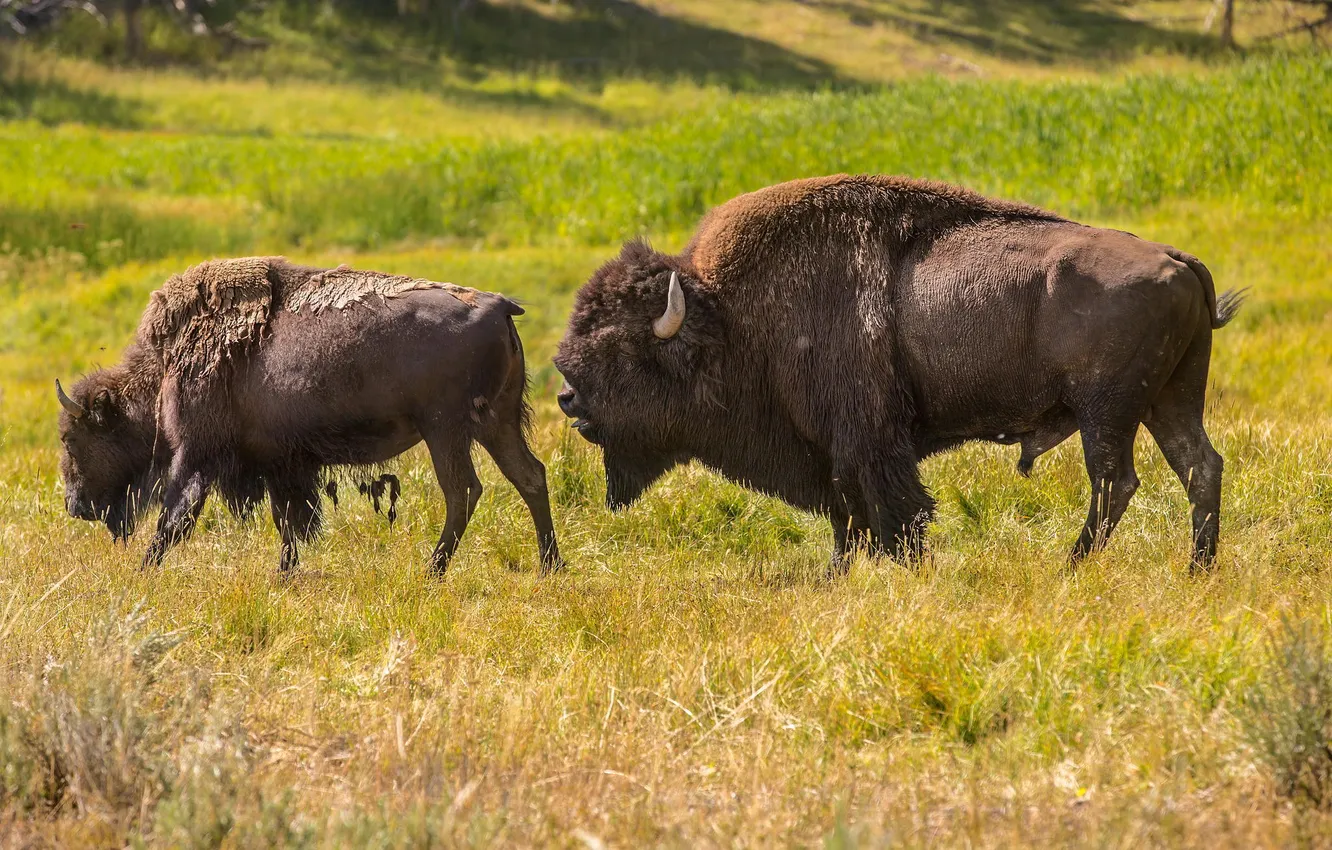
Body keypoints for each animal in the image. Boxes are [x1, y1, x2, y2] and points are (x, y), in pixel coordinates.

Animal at [55, 259, 556, 575]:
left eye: (72, 439)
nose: (74, 505)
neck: (168, 363)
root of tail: (496, 304)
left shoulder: (196, 455)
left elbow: (175, 520)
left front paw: (144, 572)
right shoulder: (281, 463)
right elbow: (289, 522)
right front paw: (285, 574)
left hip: (446, 429)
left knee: (463, 490)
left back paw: (432, 570)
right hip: (495, 423)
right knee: (529, 475)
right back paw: (550, 566)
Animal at [556, 173, 1241, 572]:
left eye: (621, 348)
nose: (567, 397)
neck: (725, 314)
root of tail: (1176, 259)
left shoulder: (867, 442)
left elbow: (891, 514)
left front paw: (905, 567)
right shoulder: (833, 449)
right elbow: (848, 521)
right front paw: (839, 575)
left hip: (1107, 412)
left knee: (1115, 482)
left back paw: (1070, 566)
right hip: (1168, 400)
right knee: (1199, 467)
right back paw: (1196, 569)